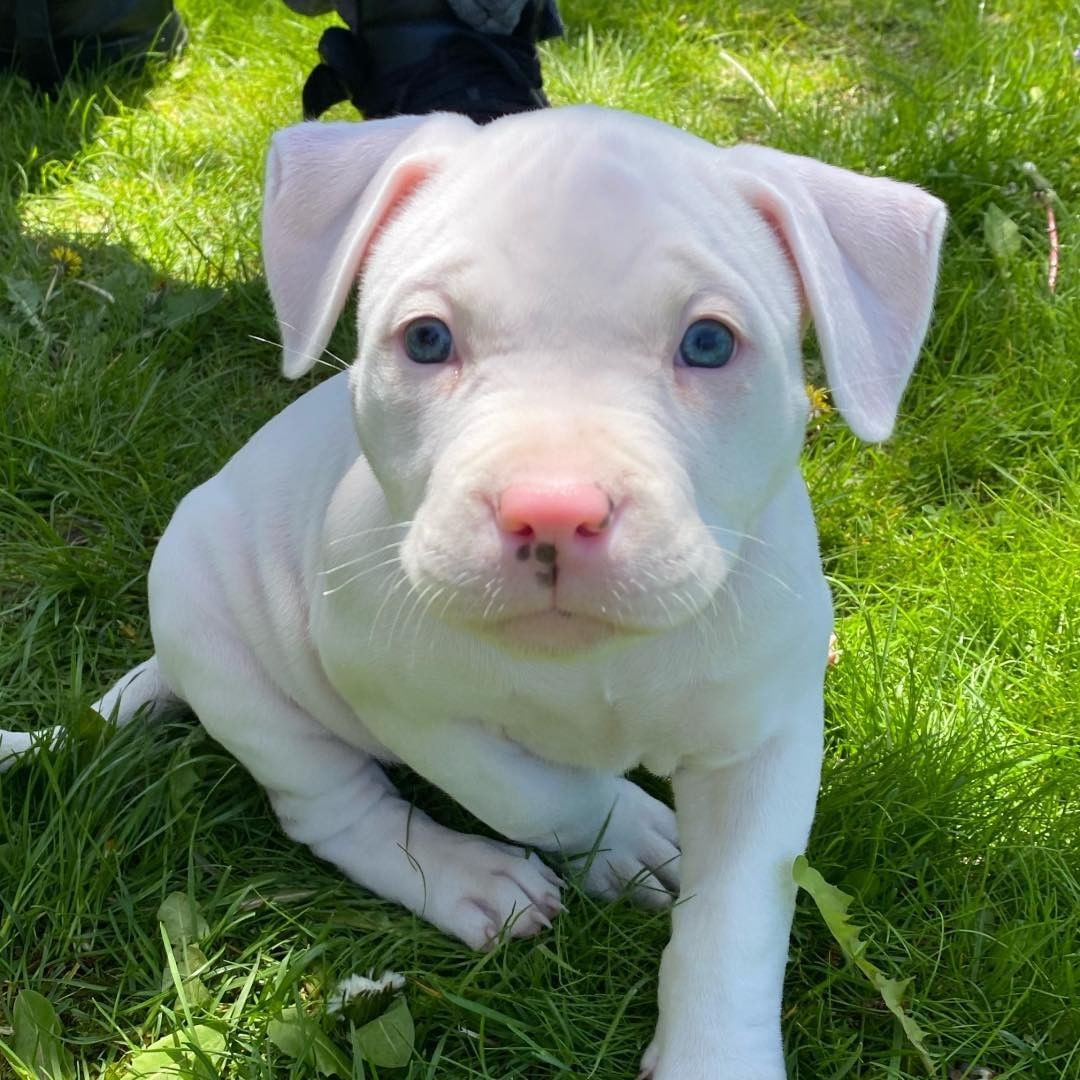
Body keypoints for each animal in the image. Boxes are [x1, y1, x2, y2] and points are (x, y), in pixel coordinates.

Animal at [0, 107, 941, 1080]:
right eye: (426, 339)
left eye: (709, 343)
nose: (553, 509)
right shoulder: (396, 695)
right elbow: (536, 792)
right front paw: (623, 833)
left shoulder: (767, 738)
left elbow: (738, 915)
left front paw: (714, 1054)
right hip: (225, 648)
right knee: (334, 808)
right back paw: (468, 877)